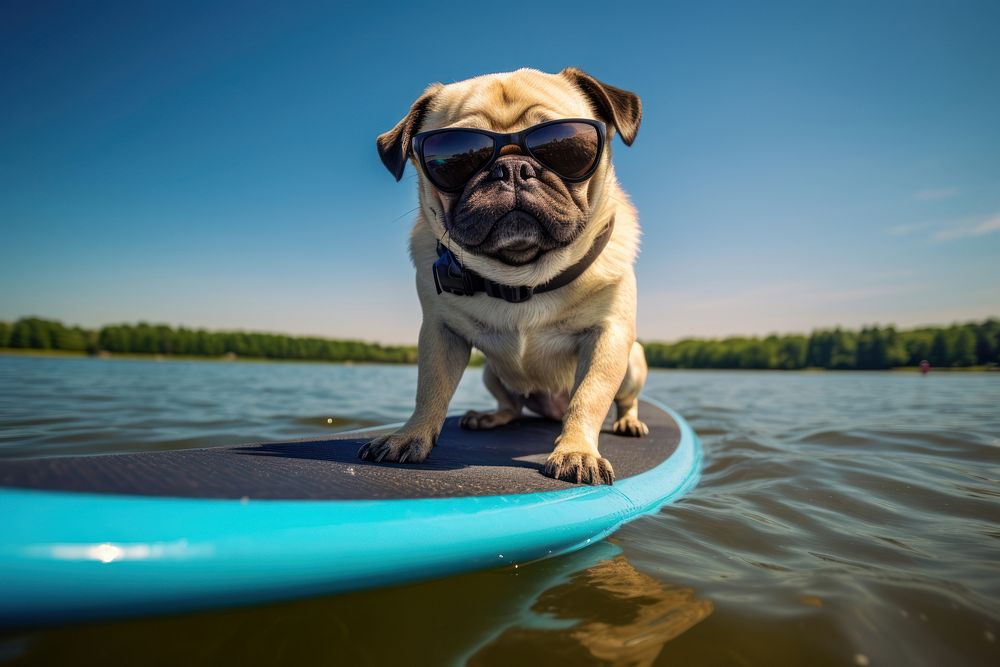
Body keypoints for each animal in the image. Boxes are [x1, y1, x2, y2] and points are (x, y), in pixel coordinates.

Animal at [360, 68, 648, 486]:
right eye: (454, 160)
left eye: (568, 148)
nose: (512, 167)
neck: (521, 278)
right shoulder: (440, 333)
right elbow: (429, 390)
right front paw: (409, 436)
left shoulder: (607, 337)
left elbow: (589, 398)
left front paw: (576, 451)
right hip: (492, 374)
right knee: (511, 406)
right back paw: (489, 417)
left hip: (633, 362)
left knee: (622, 400)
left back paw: (628, 422)